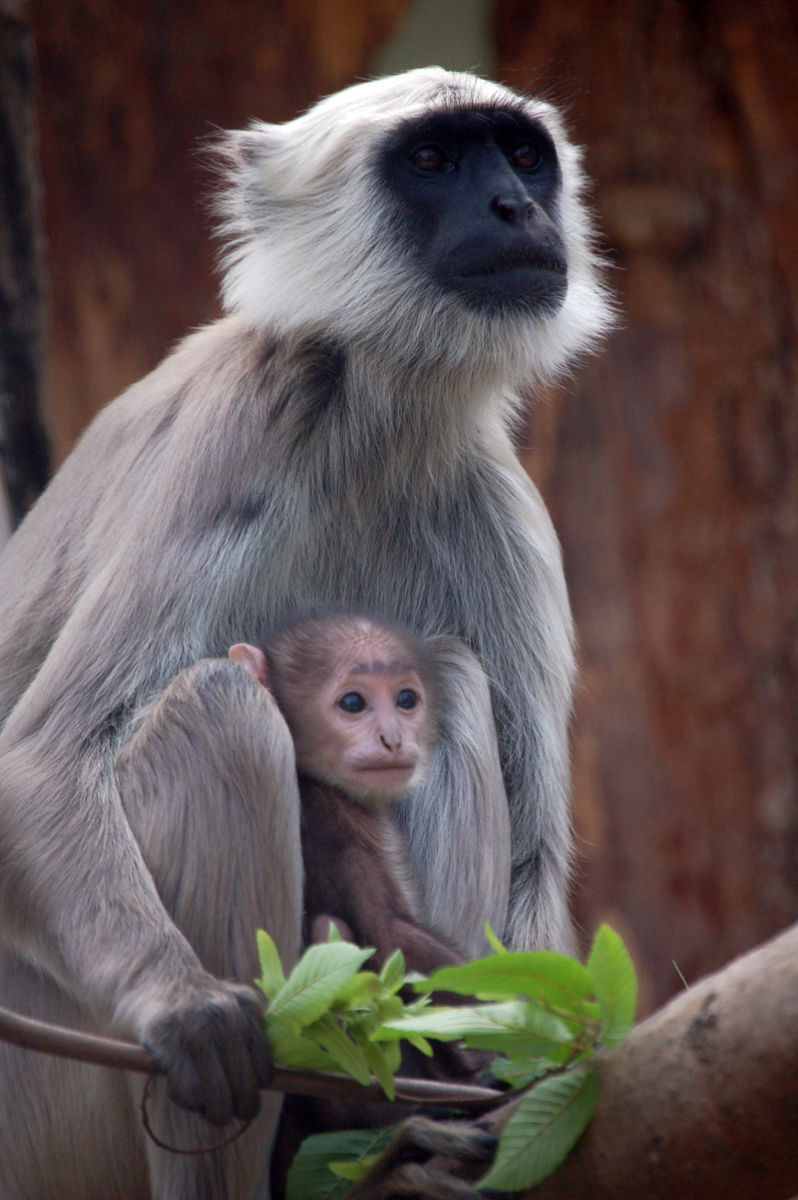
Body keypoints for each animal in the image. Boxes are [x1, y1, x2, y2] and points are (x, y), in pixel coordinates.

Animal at [226, 609, 458, 974]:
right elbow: (388, 934)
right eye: (352, 702)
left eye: (406, 700)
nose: (393, 739)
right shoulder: (335, 823)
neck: (311, 778)